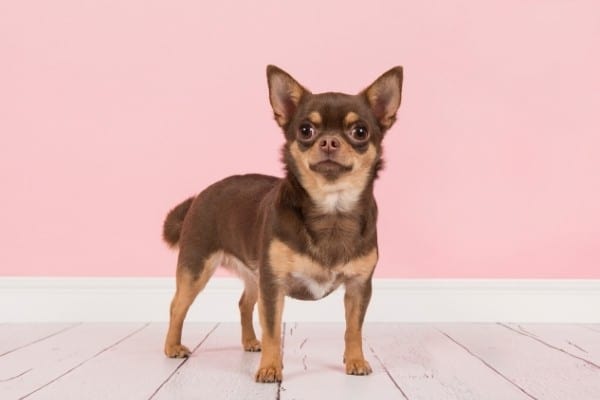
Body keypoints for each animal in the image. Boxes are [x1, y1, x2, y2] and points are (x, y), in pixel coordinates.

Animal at [163, 65, 404, 382]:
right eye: (306, 130)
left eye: (360, 132)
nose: (329, 141)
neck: (332, 208)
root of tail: (197, 197)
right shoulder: (273, 286)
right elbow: (273, 331)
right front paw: (269, 368)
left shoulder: (358, 287)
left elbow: (353, 329)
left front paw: (355, 361)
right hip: (196, 268)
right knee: (177, 305)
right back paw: (172, 346)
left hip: (253, 274)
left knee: (244, 303)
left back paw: (250, 342)